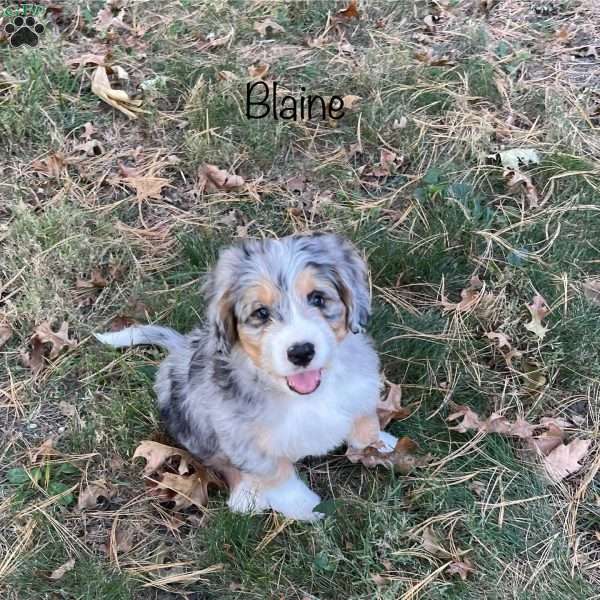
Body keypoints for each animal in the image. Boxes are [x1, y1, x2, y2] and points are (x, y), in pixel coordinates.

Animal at [96, 234, 396, 520]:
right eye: (261, 313)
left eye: (318, 298)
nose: (301, 352)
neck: (304, 396)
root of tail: (180, 346)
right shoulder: (243, 437)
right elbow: (278, 476)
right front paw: (305, 507)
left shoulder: (360, 389)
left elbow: (364, 424)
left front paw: (383, 447)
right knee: (218, 459)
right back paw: (245, 493)